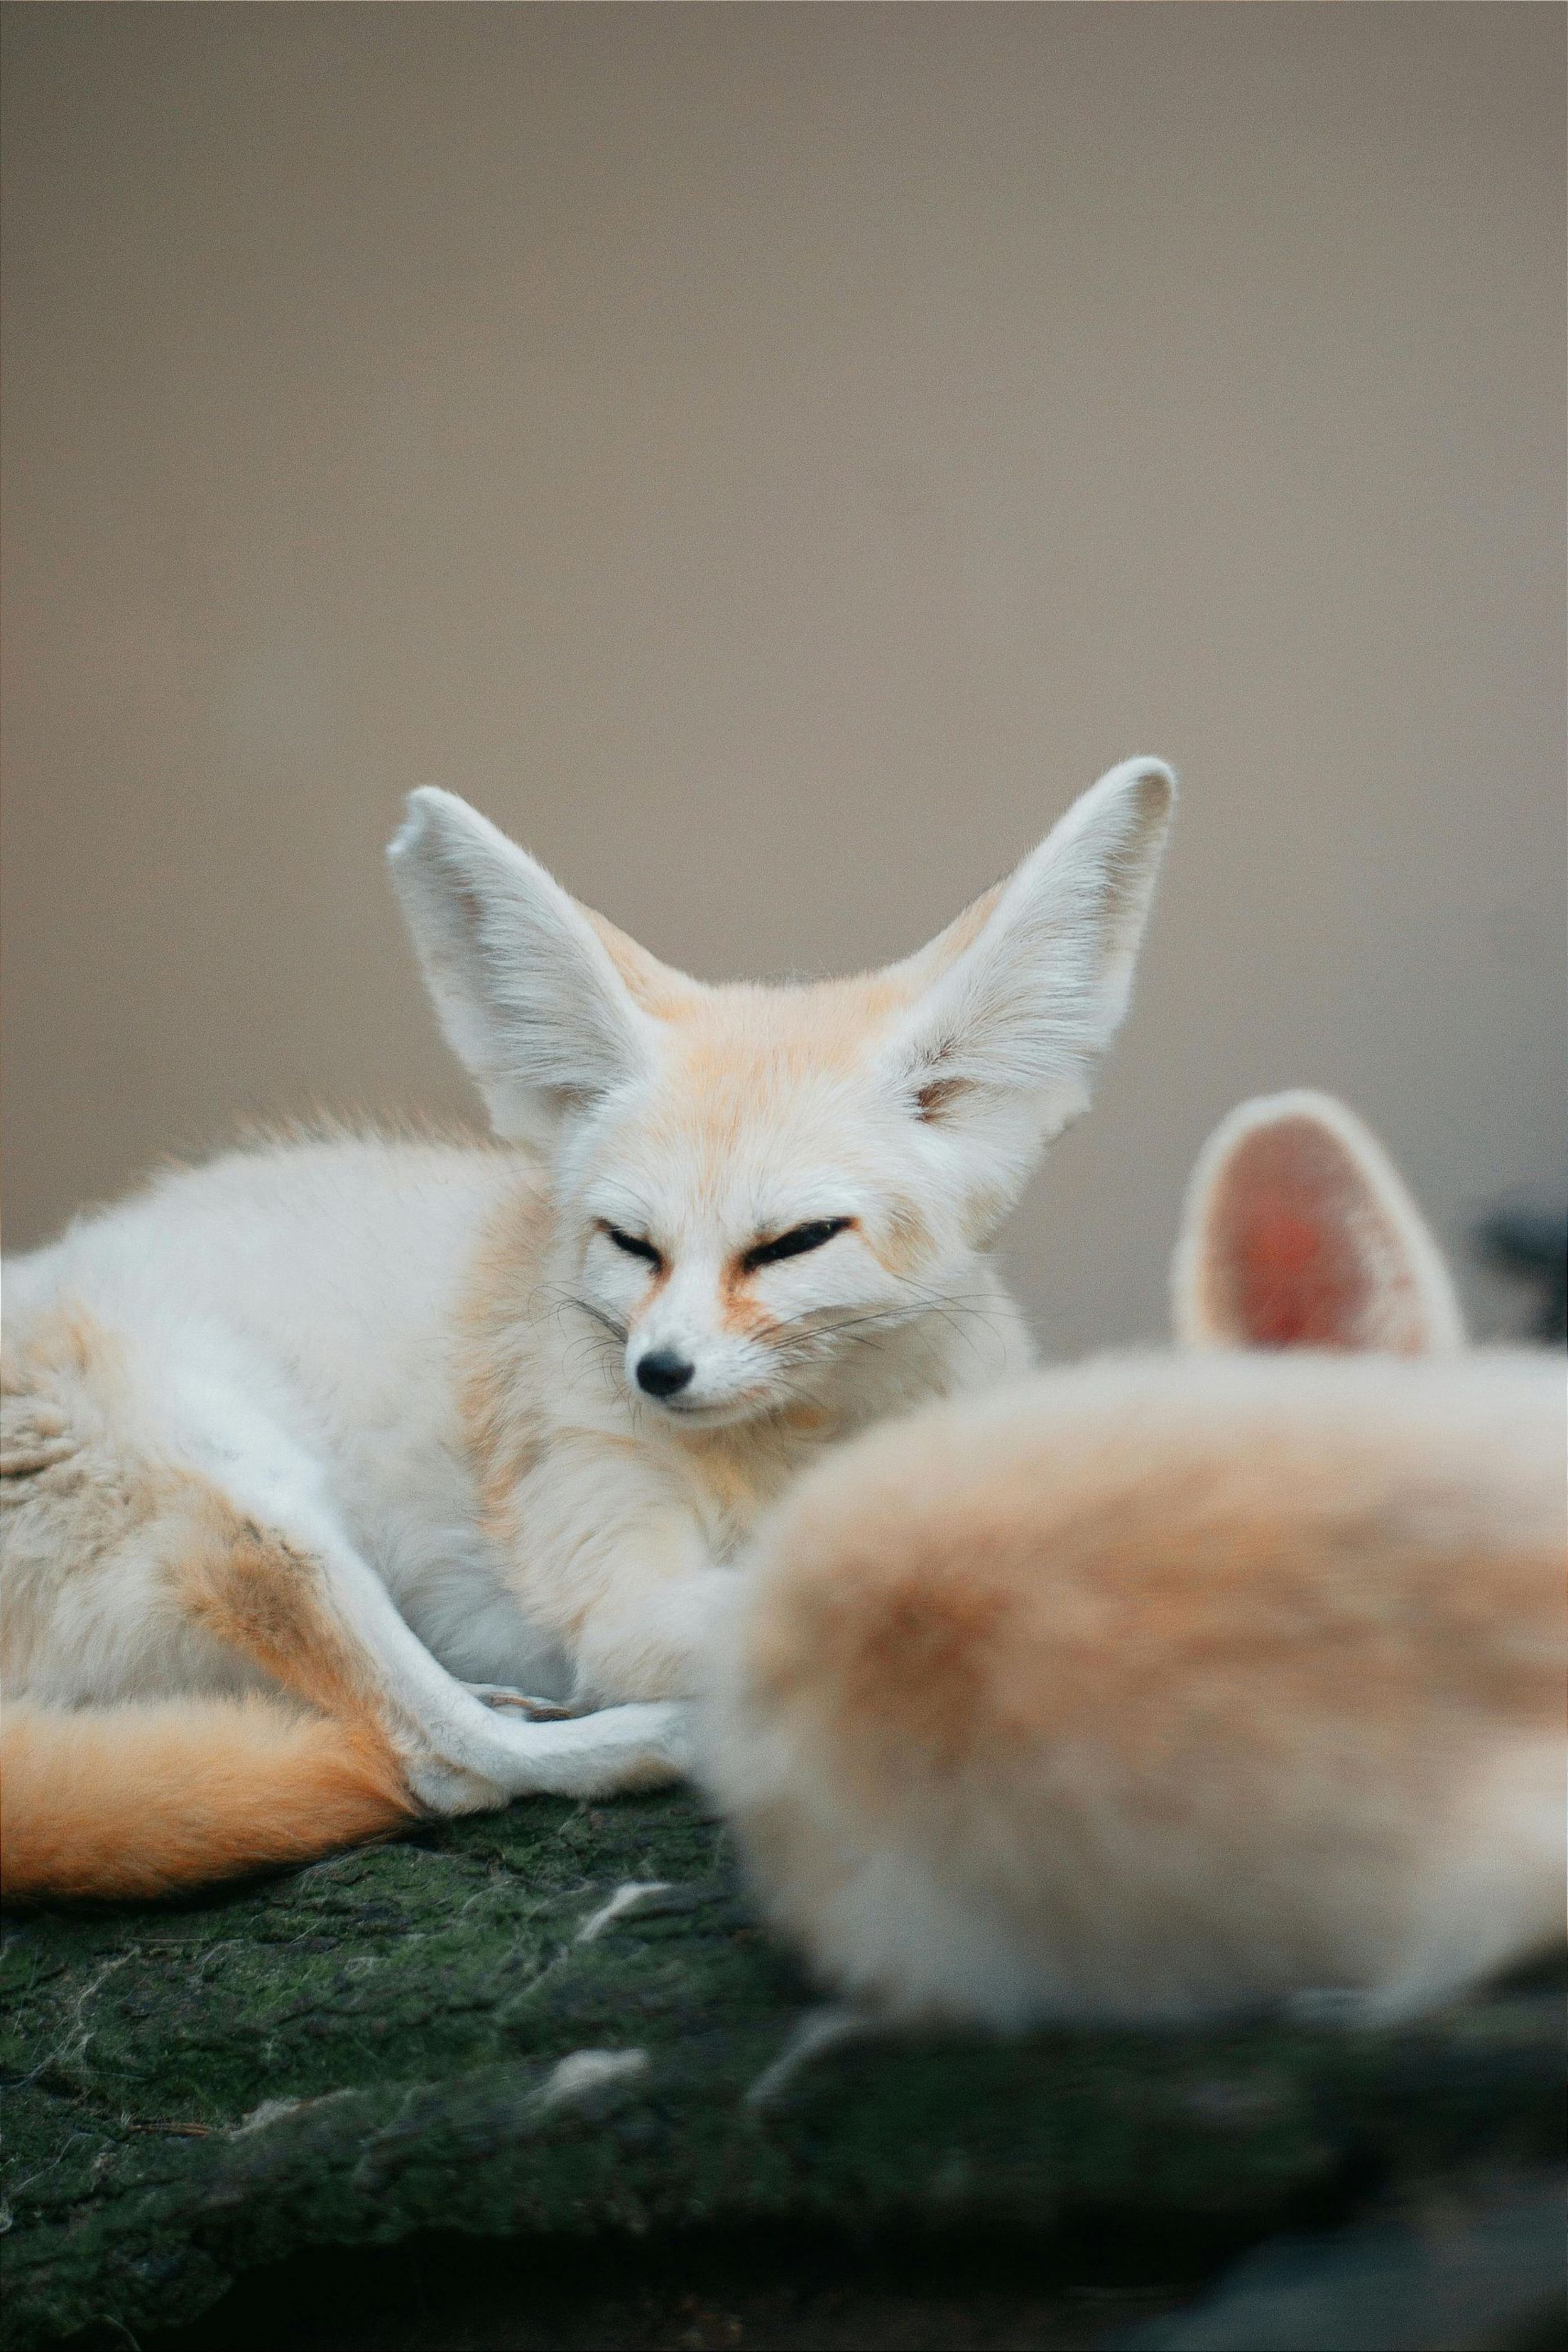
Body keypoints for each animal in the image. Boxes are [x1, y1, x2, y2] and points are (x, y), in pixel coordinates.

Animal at [0, 756, 1175, 1901]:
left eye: (792, 1243)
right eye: (630, 1243)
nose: (658, 1373)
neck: (790, 1451)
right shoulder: (613, 1583)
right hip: (247, 1497)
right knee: (437, 1759)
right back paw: (651, 1740)